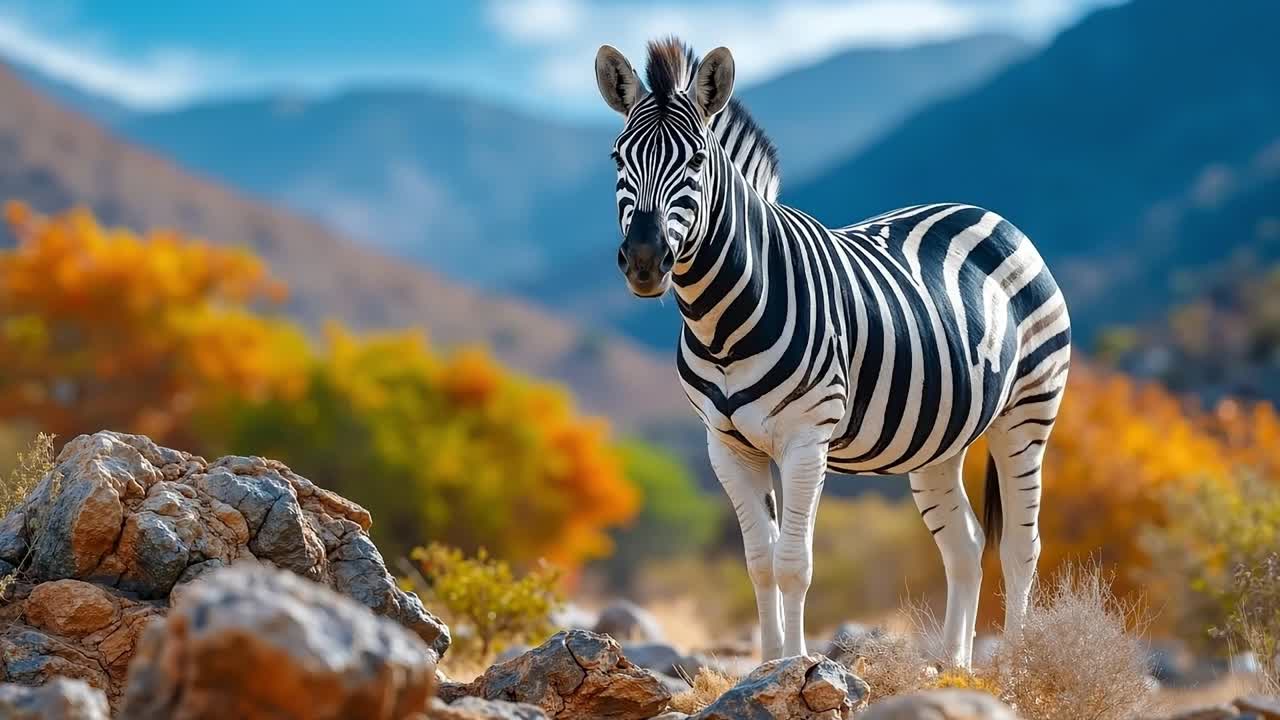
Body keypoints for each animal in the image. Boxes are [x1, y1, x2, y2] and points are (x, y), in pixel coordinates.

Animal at [593, 38, 1070, 667]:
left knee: (1020, 545)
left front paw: (794, 669)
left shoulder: (806, 439)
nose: (645, 262)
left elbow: (793, 566)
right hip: (938, 439)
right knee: (965, 544)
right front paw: (767, 667)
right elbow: (759, 564)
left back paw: (1015, 672)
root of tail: (987, 213)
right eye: (617, 159)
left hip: (1029, 411)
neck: (721, 322)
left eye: (696, 162)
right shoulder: (726, 446)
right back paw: (953, 671)